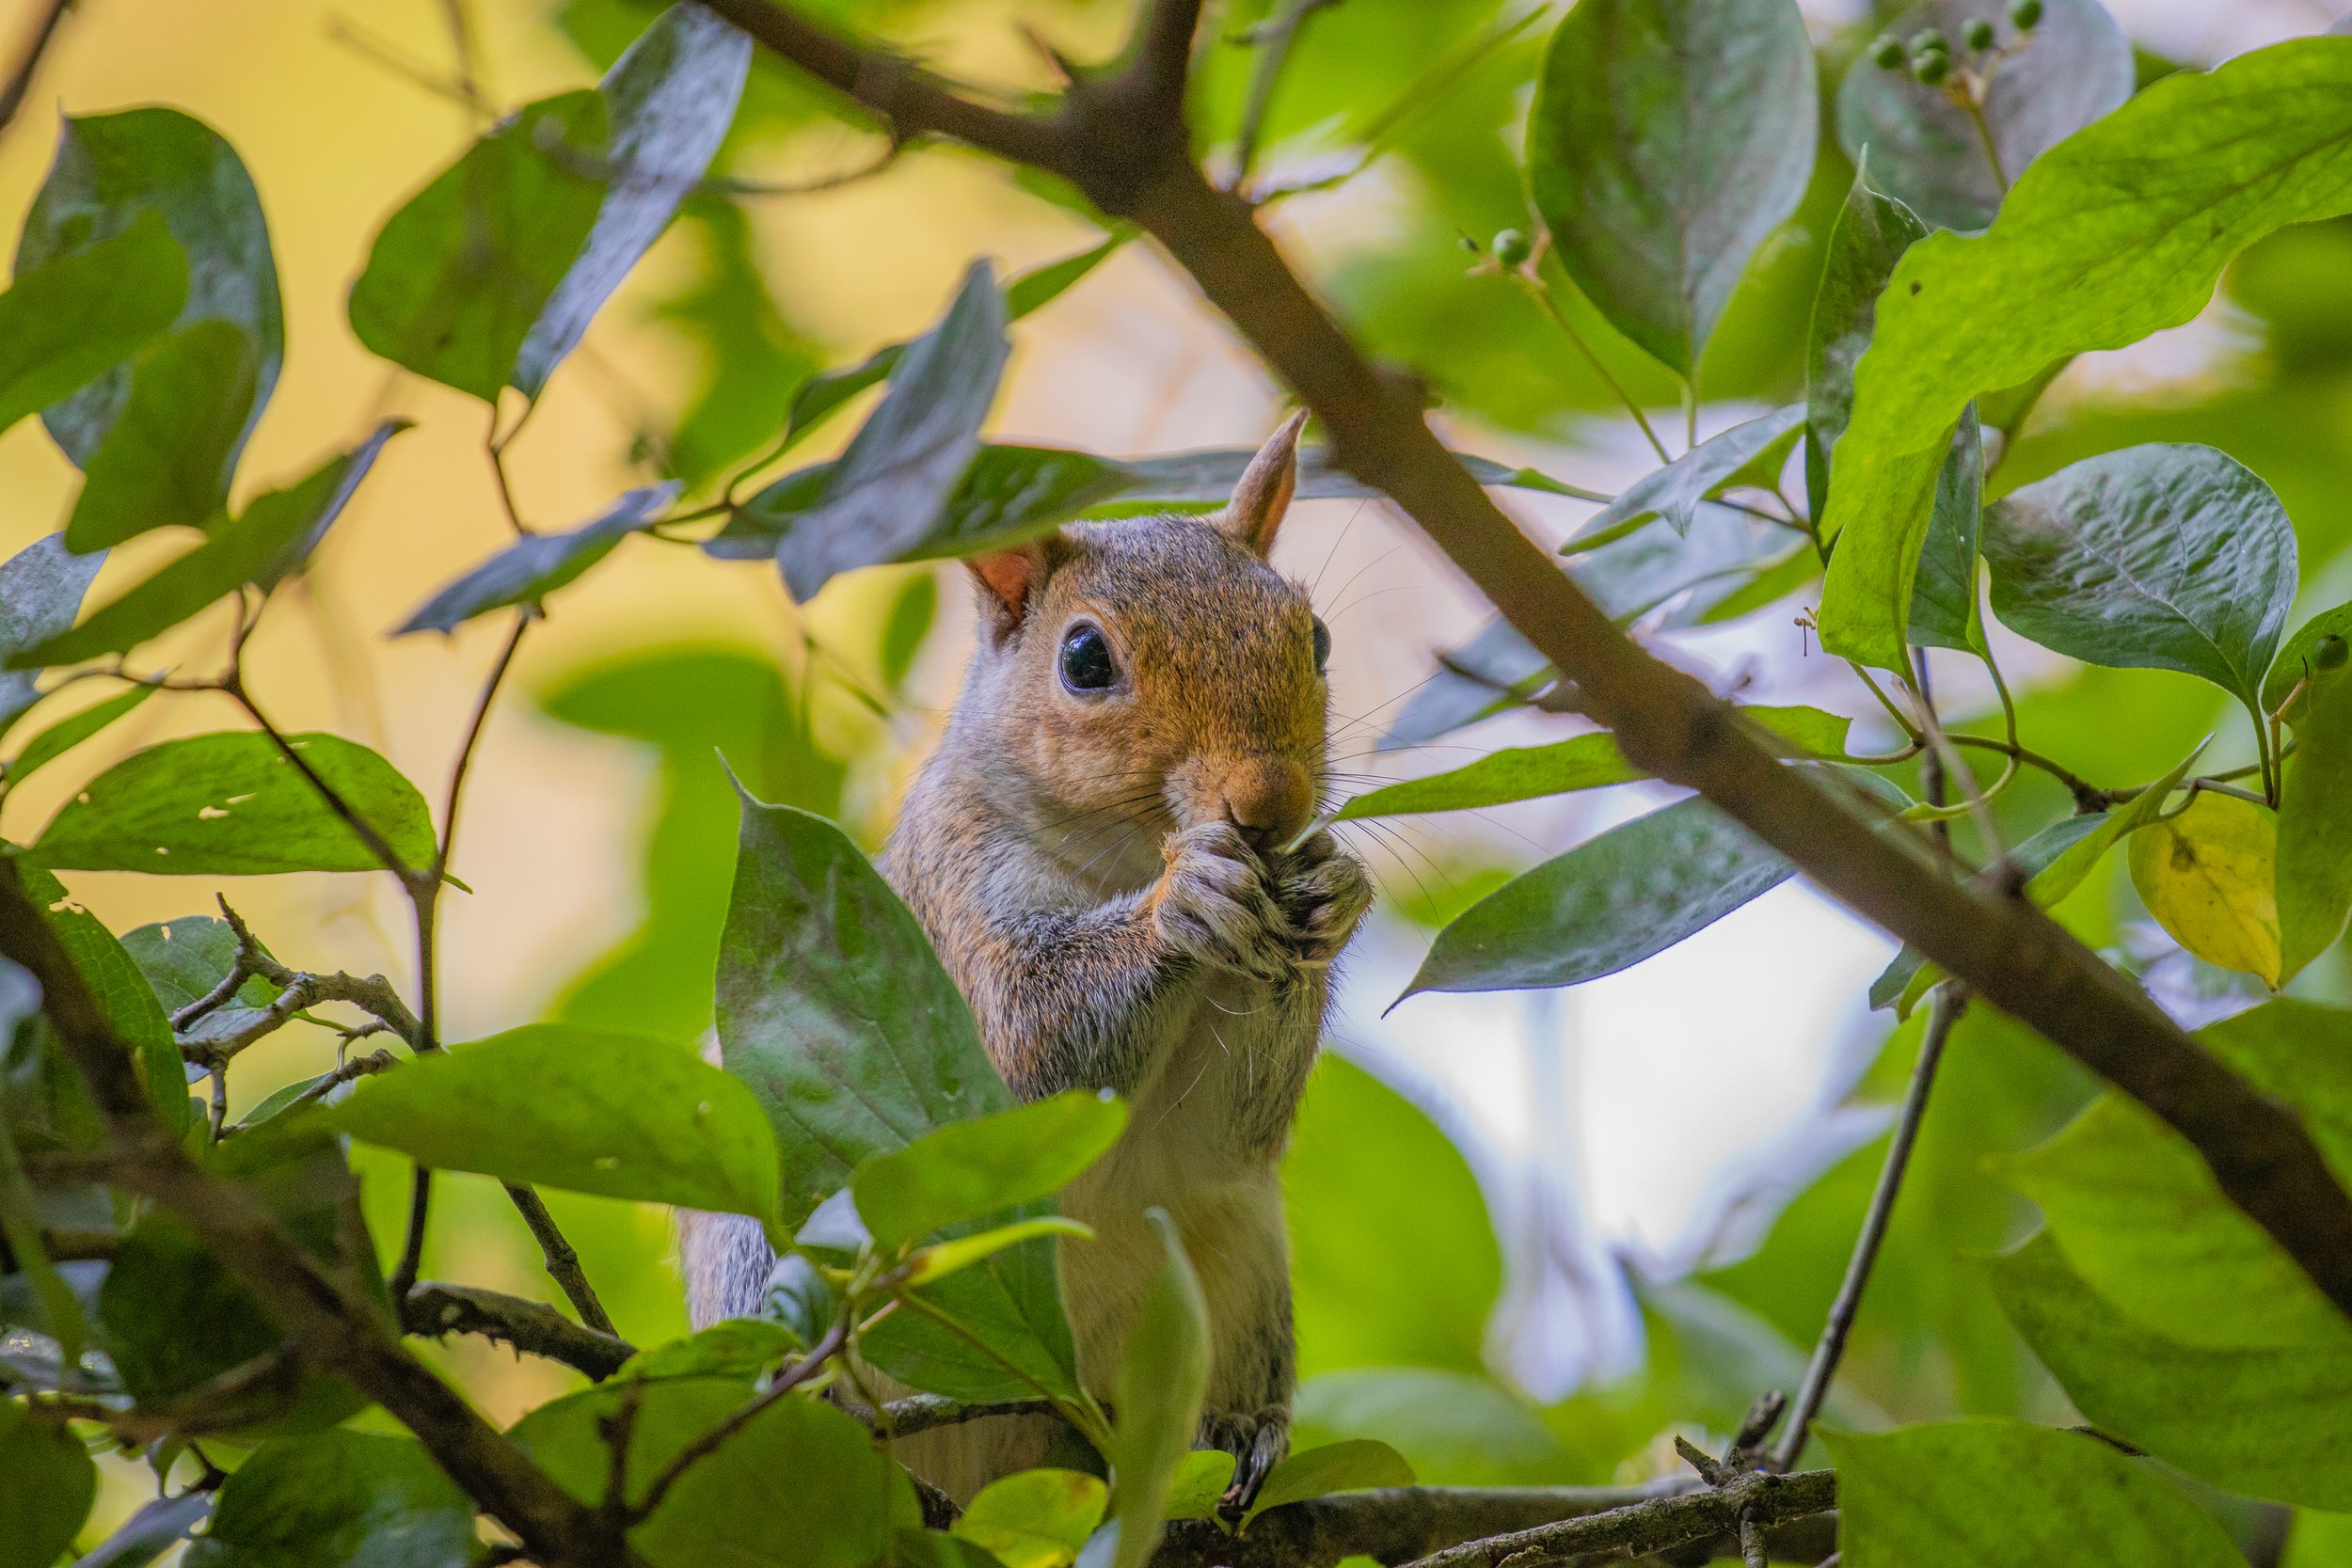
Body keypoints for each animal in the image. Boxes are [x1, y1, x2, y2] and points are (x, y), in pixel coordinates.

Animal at [682, 413, 1373, 1509]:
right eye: (1084, 659)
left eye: (1315, 637)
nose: (1269, 804)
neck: (1127, 857)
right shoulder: (956, 898)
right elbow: (1032, 1044)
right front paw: (1184, 902)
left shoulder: (1218, 1142)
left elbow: (1230, 1132)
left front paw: (1336, 886)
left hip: (1239, 1273)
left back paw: (1234, 1434)